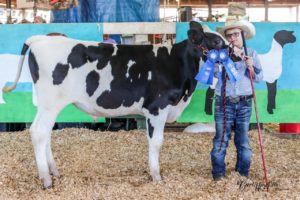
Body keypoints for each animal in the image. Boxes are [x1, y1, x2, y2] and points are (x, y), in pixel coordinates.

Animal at [3, 21, 226, 188]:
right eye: (216, 41)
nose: (232, 53)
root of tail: (40, 38)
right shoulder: (157, 107)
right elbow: (157, 142)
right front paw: (156, 176)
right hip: (50, 103)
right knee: (39, 132)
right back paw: (46, 179)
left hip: (48, 106)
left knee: (45, 133)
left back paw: (53, 171)